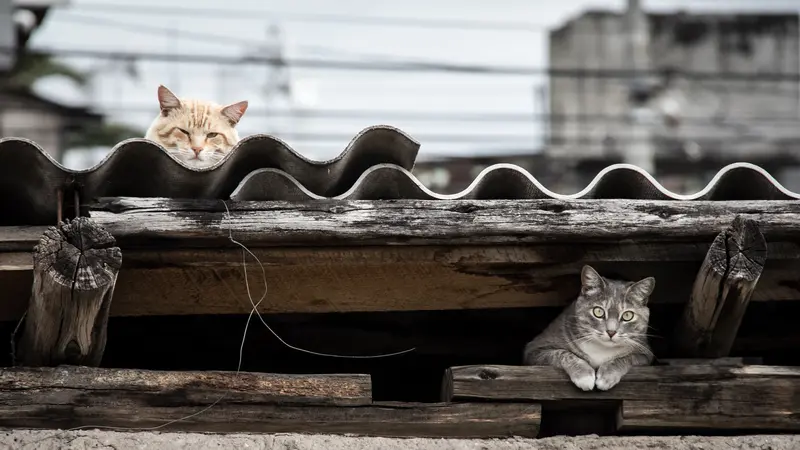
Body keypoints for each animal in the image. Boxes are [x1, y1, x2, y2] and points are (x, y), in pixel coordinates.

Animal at [524, 268, 656, 390]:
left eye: (628, 315)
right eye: (598, 311)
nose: (611, 332)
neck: (601, 349)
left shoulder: (645, 354)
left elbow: (627, 357)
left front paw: (608, 375)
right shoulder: (534, 350)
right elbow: (562, 353)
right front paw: (584, 375)